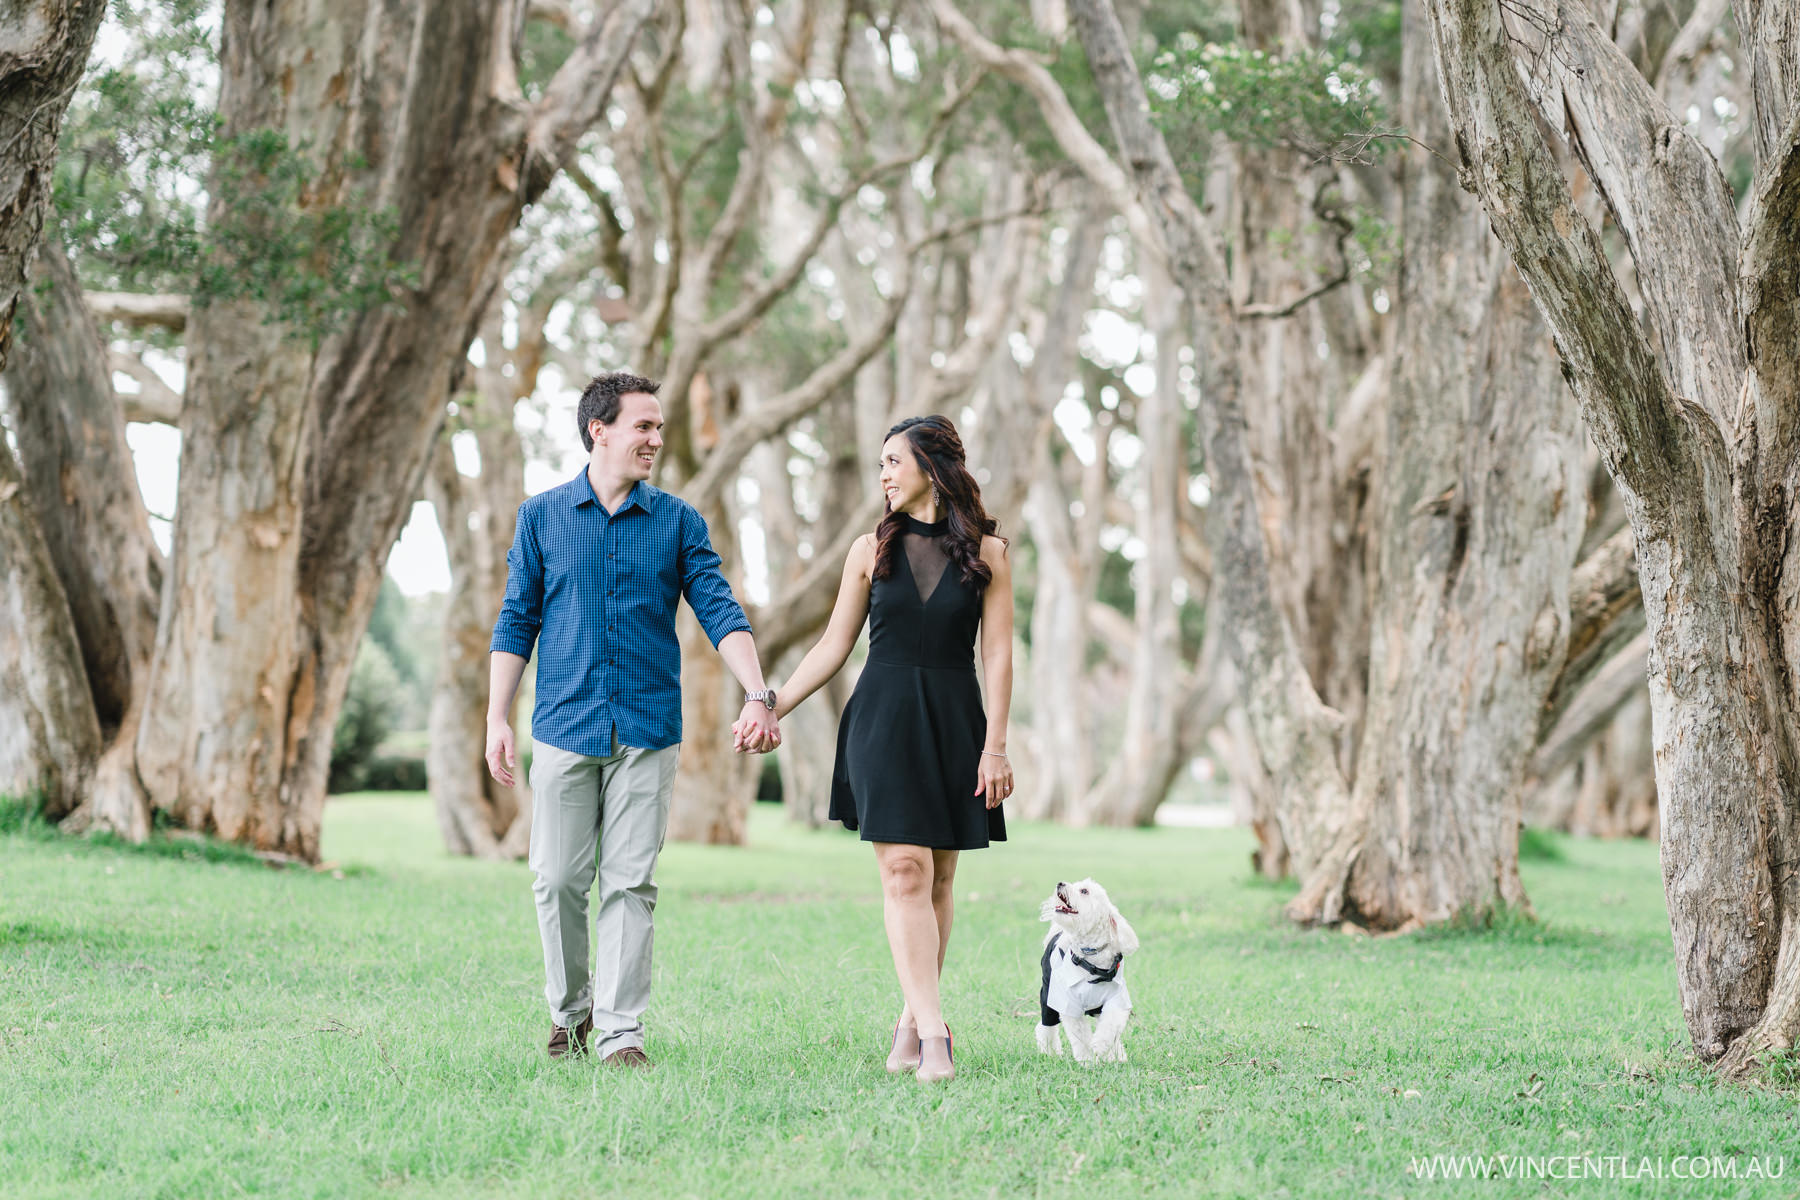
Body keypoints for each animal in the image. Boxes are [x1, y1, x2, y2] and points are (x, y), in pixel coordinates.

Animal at [1036, 881, 1130, 1057]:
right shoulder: (1070, 1005)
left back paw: (1118, 1055)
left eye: (1084, 891)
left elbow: (1110, 1027)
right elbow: (1081, 1038)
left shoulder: (1116, 1001)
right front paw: (1087, 1059)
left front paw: (1101, 1047)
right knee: (1046, 1026)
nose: (1060, 883)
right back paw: (1051, 1053)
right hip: (1048, 992)